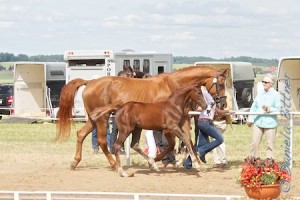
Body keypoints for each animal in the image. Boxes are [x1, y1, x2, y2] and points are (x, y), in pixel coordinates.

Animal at [55, 65, 227, 170]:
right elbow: (172, 144)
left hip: (93, 119)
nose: (223, 103)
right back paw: (114, 165)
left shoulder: (183, 119)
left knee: (81, 134)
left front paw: (190, 162)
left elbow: (188, 140)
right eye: (221, 84)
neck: (173, 85)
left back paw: (75, 162)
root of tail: (90, 82)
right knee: (103, 141)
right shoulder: (167, 126)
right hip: (102, 119)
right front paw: (158, 161)